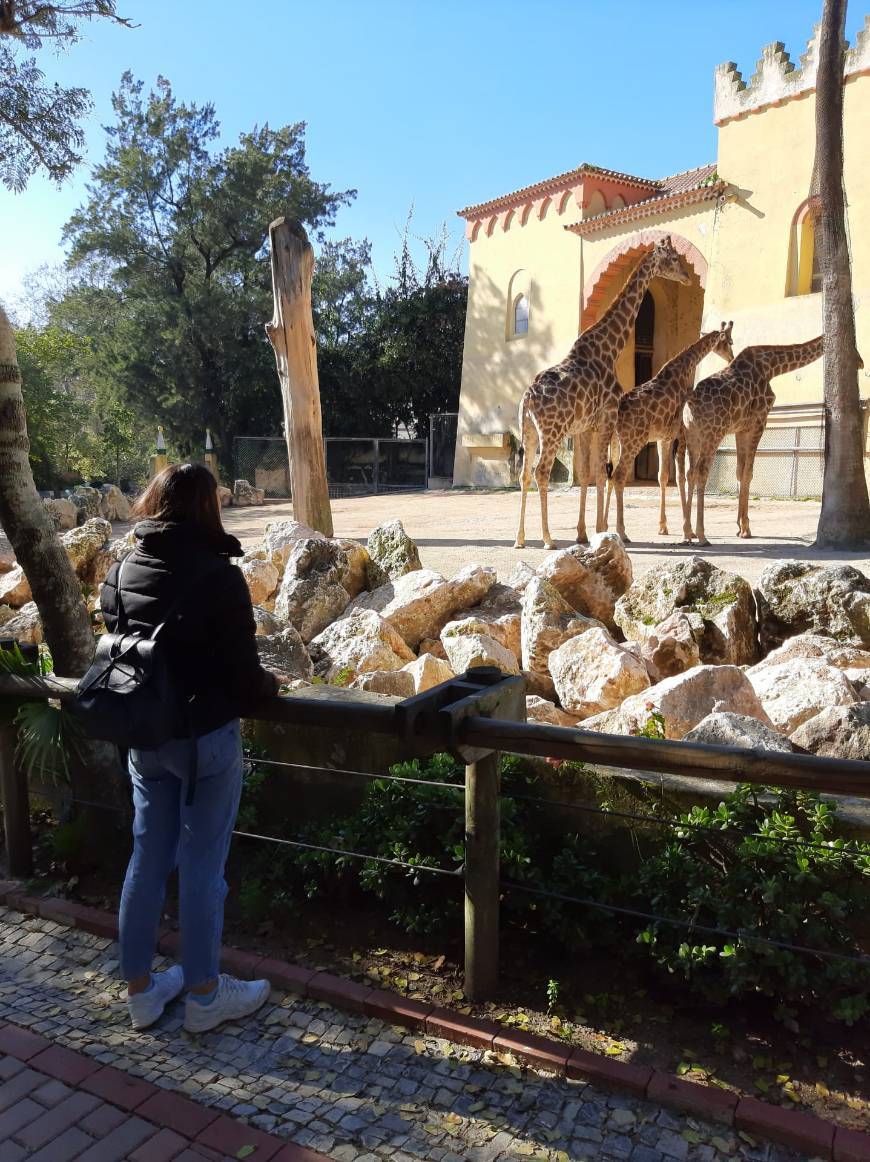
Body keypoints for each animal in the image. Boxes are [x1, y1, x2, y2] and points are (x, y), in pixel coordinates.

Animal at [513, 238, 687, 550]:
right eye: (674, 258)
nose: (688, 276)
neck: (611, 349)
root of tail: (528, 399)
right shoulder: (606, 418)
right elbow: (602, 474)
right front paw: (603, 529)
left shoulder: (585, 427)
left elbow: (586, 474)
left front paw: (583, 532)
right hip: (552, 432)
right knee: (540, 472)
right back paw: (547, 538)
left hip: (529, 431)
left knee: (523, 475)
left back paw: (520, 539)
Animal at [604, 320, 734, 541]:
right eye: (730, 342)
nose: (732, 358)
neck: (683, 370)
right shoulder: (679, 434)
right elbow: (682, 476)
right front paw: (687, 531)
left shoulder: (663, 438)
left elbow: (663, 477)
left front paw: (664, 527)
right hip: (633, 440)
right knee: (619, 476)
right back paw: (622, 532)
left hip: (614, 442)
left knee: (607, 477)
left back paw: (602, 526)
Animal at [678, 336, 822, 543]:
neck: (771, 367)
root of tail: (690, 404)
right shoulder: (759, 421)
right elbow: (748, 473)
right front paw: (746, 529)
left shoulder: (741, 428)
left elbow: (739, 472)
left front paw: (739, 526)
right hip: (713, 434)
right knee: (701, 472)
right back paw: (702, 535)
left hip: (692, 435)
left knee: (690, 472)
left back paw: (687, 533)